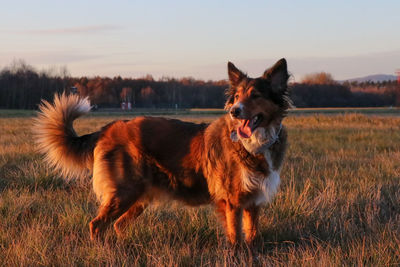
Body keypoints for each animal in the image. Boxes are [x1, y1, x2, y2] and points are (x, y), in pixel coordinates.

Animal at [34, 58, 290, 247]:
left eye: (255, 95)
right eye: (237, 97)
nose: (235, 111)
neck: (253, 144)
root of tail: (108, 128)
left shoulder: (253, 201)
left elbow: (252, 235)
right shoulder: (232, 201)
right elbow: (235, 238)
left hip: (138, 196)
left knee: (117, 225)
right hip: (125, 191)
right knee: (97, 224)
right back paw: (103, 250)